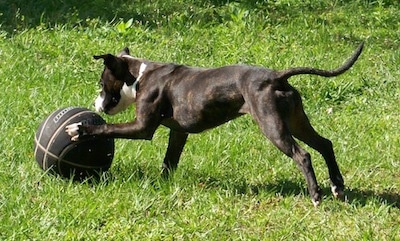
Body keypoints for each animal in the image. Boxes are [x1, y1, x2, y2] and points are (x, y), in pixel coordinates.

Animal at [67, 42, 364, 205]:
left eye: (102, 84)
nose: (95, 104)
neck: (139, 75)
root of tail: (276, 76)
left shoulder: (142, 128)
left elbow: (108, 128)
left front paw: (81, 129)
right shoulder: (178, 133)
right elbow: (169, 161)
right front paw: (163, 185)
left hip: (273, 127)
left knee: (303, 155)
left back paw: (315, 195)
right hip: (296, 121)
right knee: (325, 144)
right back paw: (337, 186)